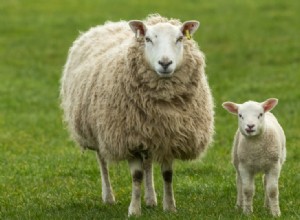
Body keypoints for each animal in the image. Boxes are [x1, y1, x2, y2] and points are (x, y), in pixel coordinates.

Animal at [60, 14, 213, 217]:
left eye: (179, 38)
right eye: (148, 39)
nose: (165, 63)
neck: (162, 105)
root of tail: (109, 24)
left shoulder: (169, 136)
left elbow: (167, 175)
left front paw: (169, 207)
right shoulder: (129, 139)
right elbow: (136, 176)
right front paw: (134, 210)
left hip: (147, 134)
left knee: (147, 163)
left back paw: (150, 199)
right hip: (97, 132)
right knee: (103, 162)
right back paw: (109, 197)